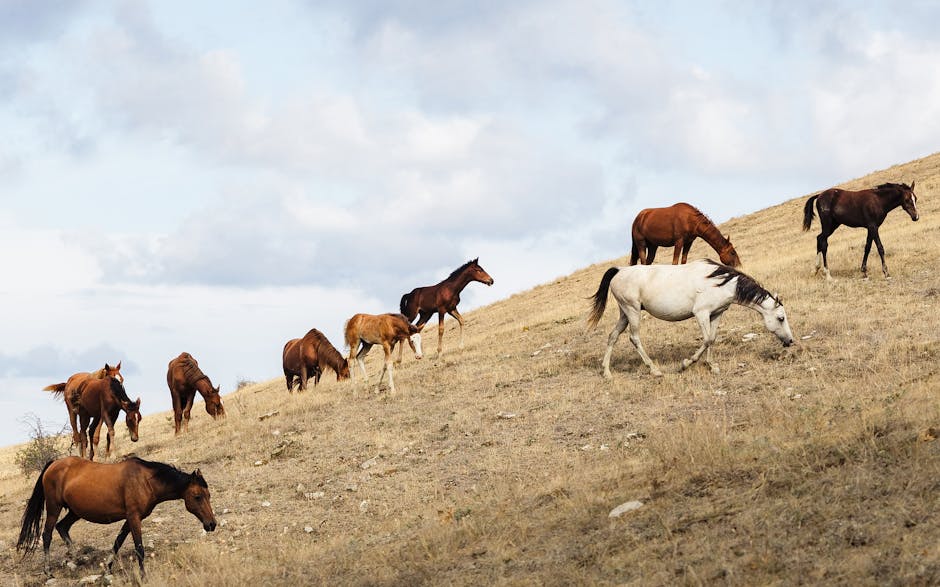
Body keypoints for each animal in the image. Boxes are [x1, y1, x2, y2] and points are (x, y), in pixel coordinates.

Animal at [17, 456, 216, 577]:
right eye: (197, 496)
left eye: (208, 495)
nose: (211, 524)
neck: (145, 481)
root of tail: (53, 464)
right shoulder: (134, 517)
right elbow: (139, 548)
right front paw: (143, 576)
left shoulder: (130, 518)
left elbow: (117, 543)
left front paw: (107, 569)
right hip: (54, 507)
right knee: (47, 535)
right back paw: (48, 571)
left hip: (75, 511)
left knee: (62, 527)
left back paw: (77, 558)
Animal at [588, 259, 794, 377]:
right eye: (781, 318)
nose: (790, 341)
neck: (721, 283)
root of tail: (619, 270)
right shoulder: (701, 313)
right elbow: (707, 339)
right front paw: (685, 364)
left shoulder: (716, 314)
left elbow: (712, 339)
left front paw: (712, 366)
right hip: (633, 311)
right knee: (634, 338)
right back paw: (654, 370)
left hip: (625, 313)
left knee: (613, 336)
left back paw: (607, 372)